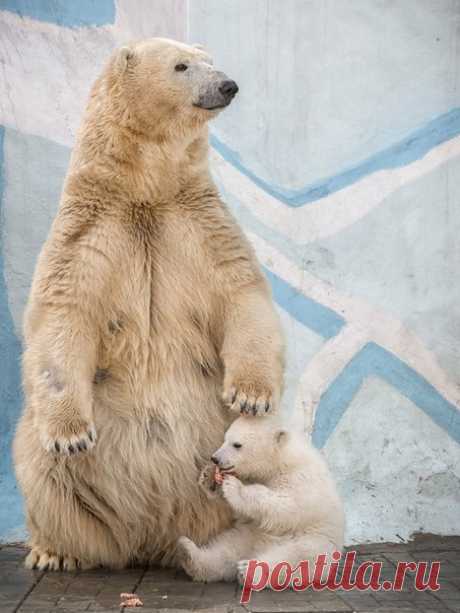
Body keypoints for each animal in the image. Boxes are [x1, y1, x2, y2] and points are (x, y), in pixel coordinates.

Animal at [12, 38, 284, 572]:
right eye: (182, 65)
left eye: (209, 58)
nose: (227, 85)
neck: (145, 192)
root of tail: (149, 536)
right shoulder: (89, 232)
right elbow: (64, 315)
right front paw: (71, 434)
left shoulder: (200, 224)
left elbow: (241, 293)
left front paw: (251, 395)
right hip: (61, 473)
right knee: (42, 469)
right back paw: (54, 551)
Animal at [178, 416, 344, 584]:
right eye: (225, 439)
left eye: (237, 444)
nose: (215, 459)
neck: (281, 459)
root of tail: (260, 547)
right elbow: (245, 512)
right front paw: (210, 477)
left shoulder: (300, 478)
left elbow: (286, 505)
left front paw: (234, 487)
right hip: (248, 535)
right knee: (225, 551)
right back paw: (188, 552)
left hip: (313, 542)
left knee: (295, 558)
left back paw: (249, 570)